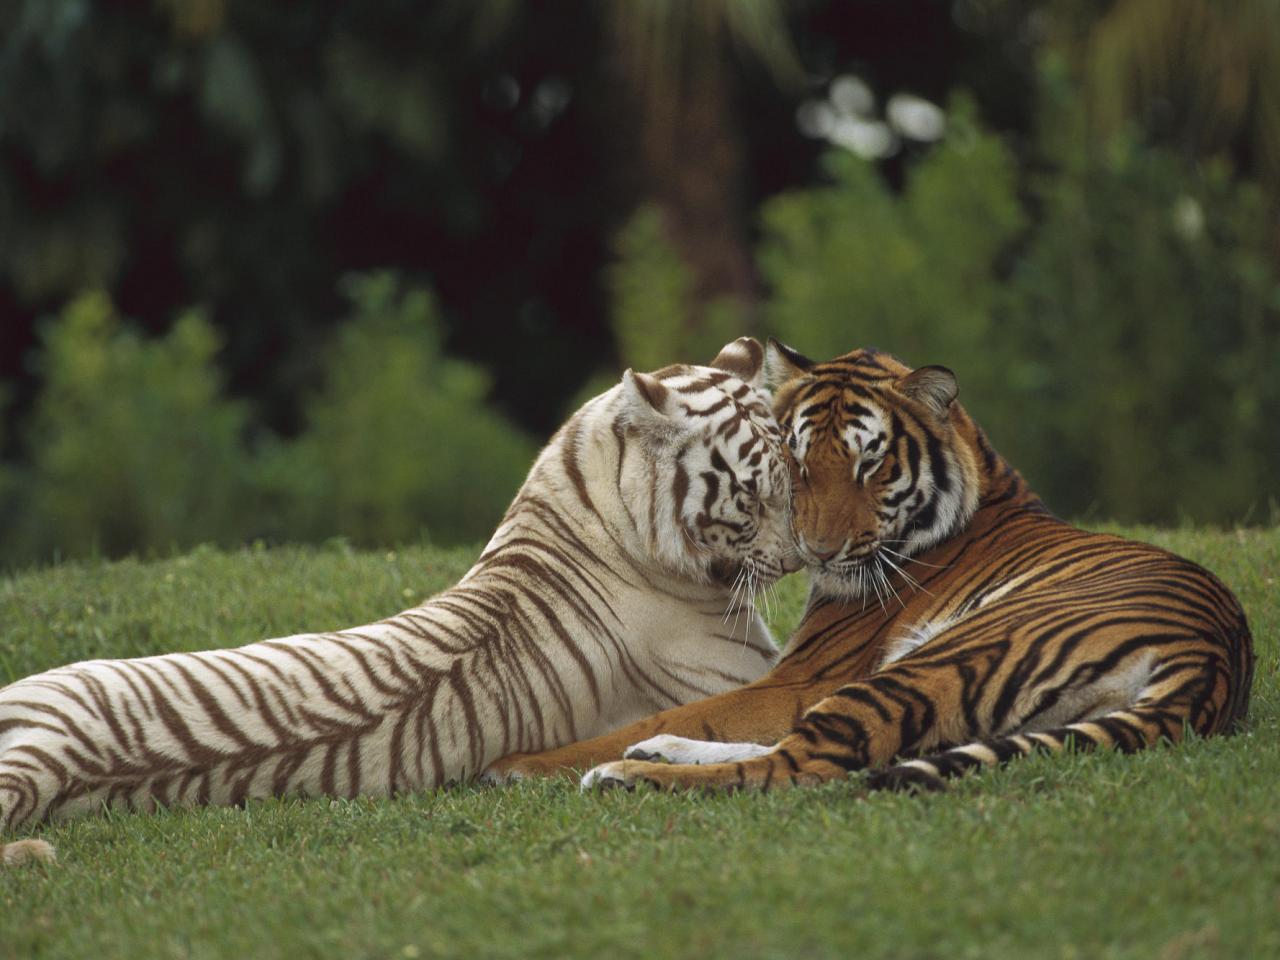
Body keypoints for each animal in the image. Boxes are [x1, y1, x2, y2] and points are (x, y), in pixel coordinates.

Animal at [483, 343, 1254, 793]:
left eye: (870, 465)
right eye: (797, 462)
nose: (816, 553)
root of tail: (1212, 660)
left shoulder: (804, 677)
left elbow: (692, 708)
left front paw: (521, 764)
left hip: (937, 661)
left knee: (799, 763)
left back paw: (621, 773)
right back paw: (655, 753)